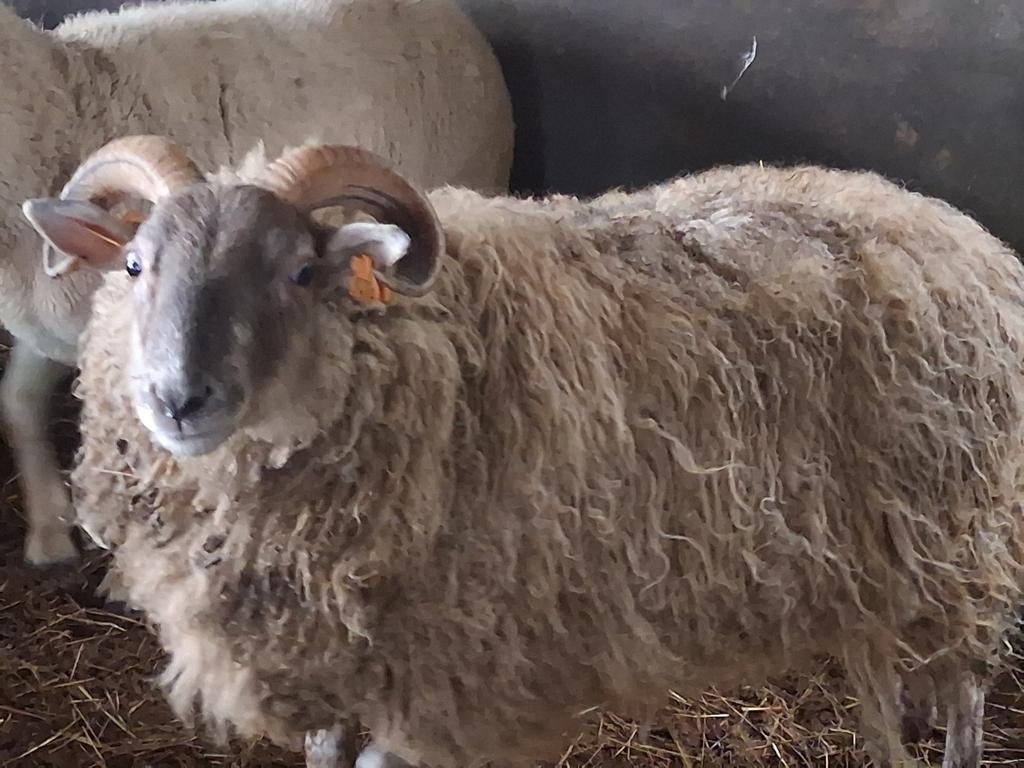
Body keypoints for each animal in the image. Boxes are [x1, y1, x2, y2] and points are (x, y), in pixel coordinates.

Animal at [23, 135, 1024, 768]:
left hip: (958, 529)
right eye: (134, 266)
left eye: (300, 272)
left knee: (971, 687)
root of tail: (952, 226)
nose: (177, 399)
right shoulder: (332, 654)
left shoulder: (450, 672)